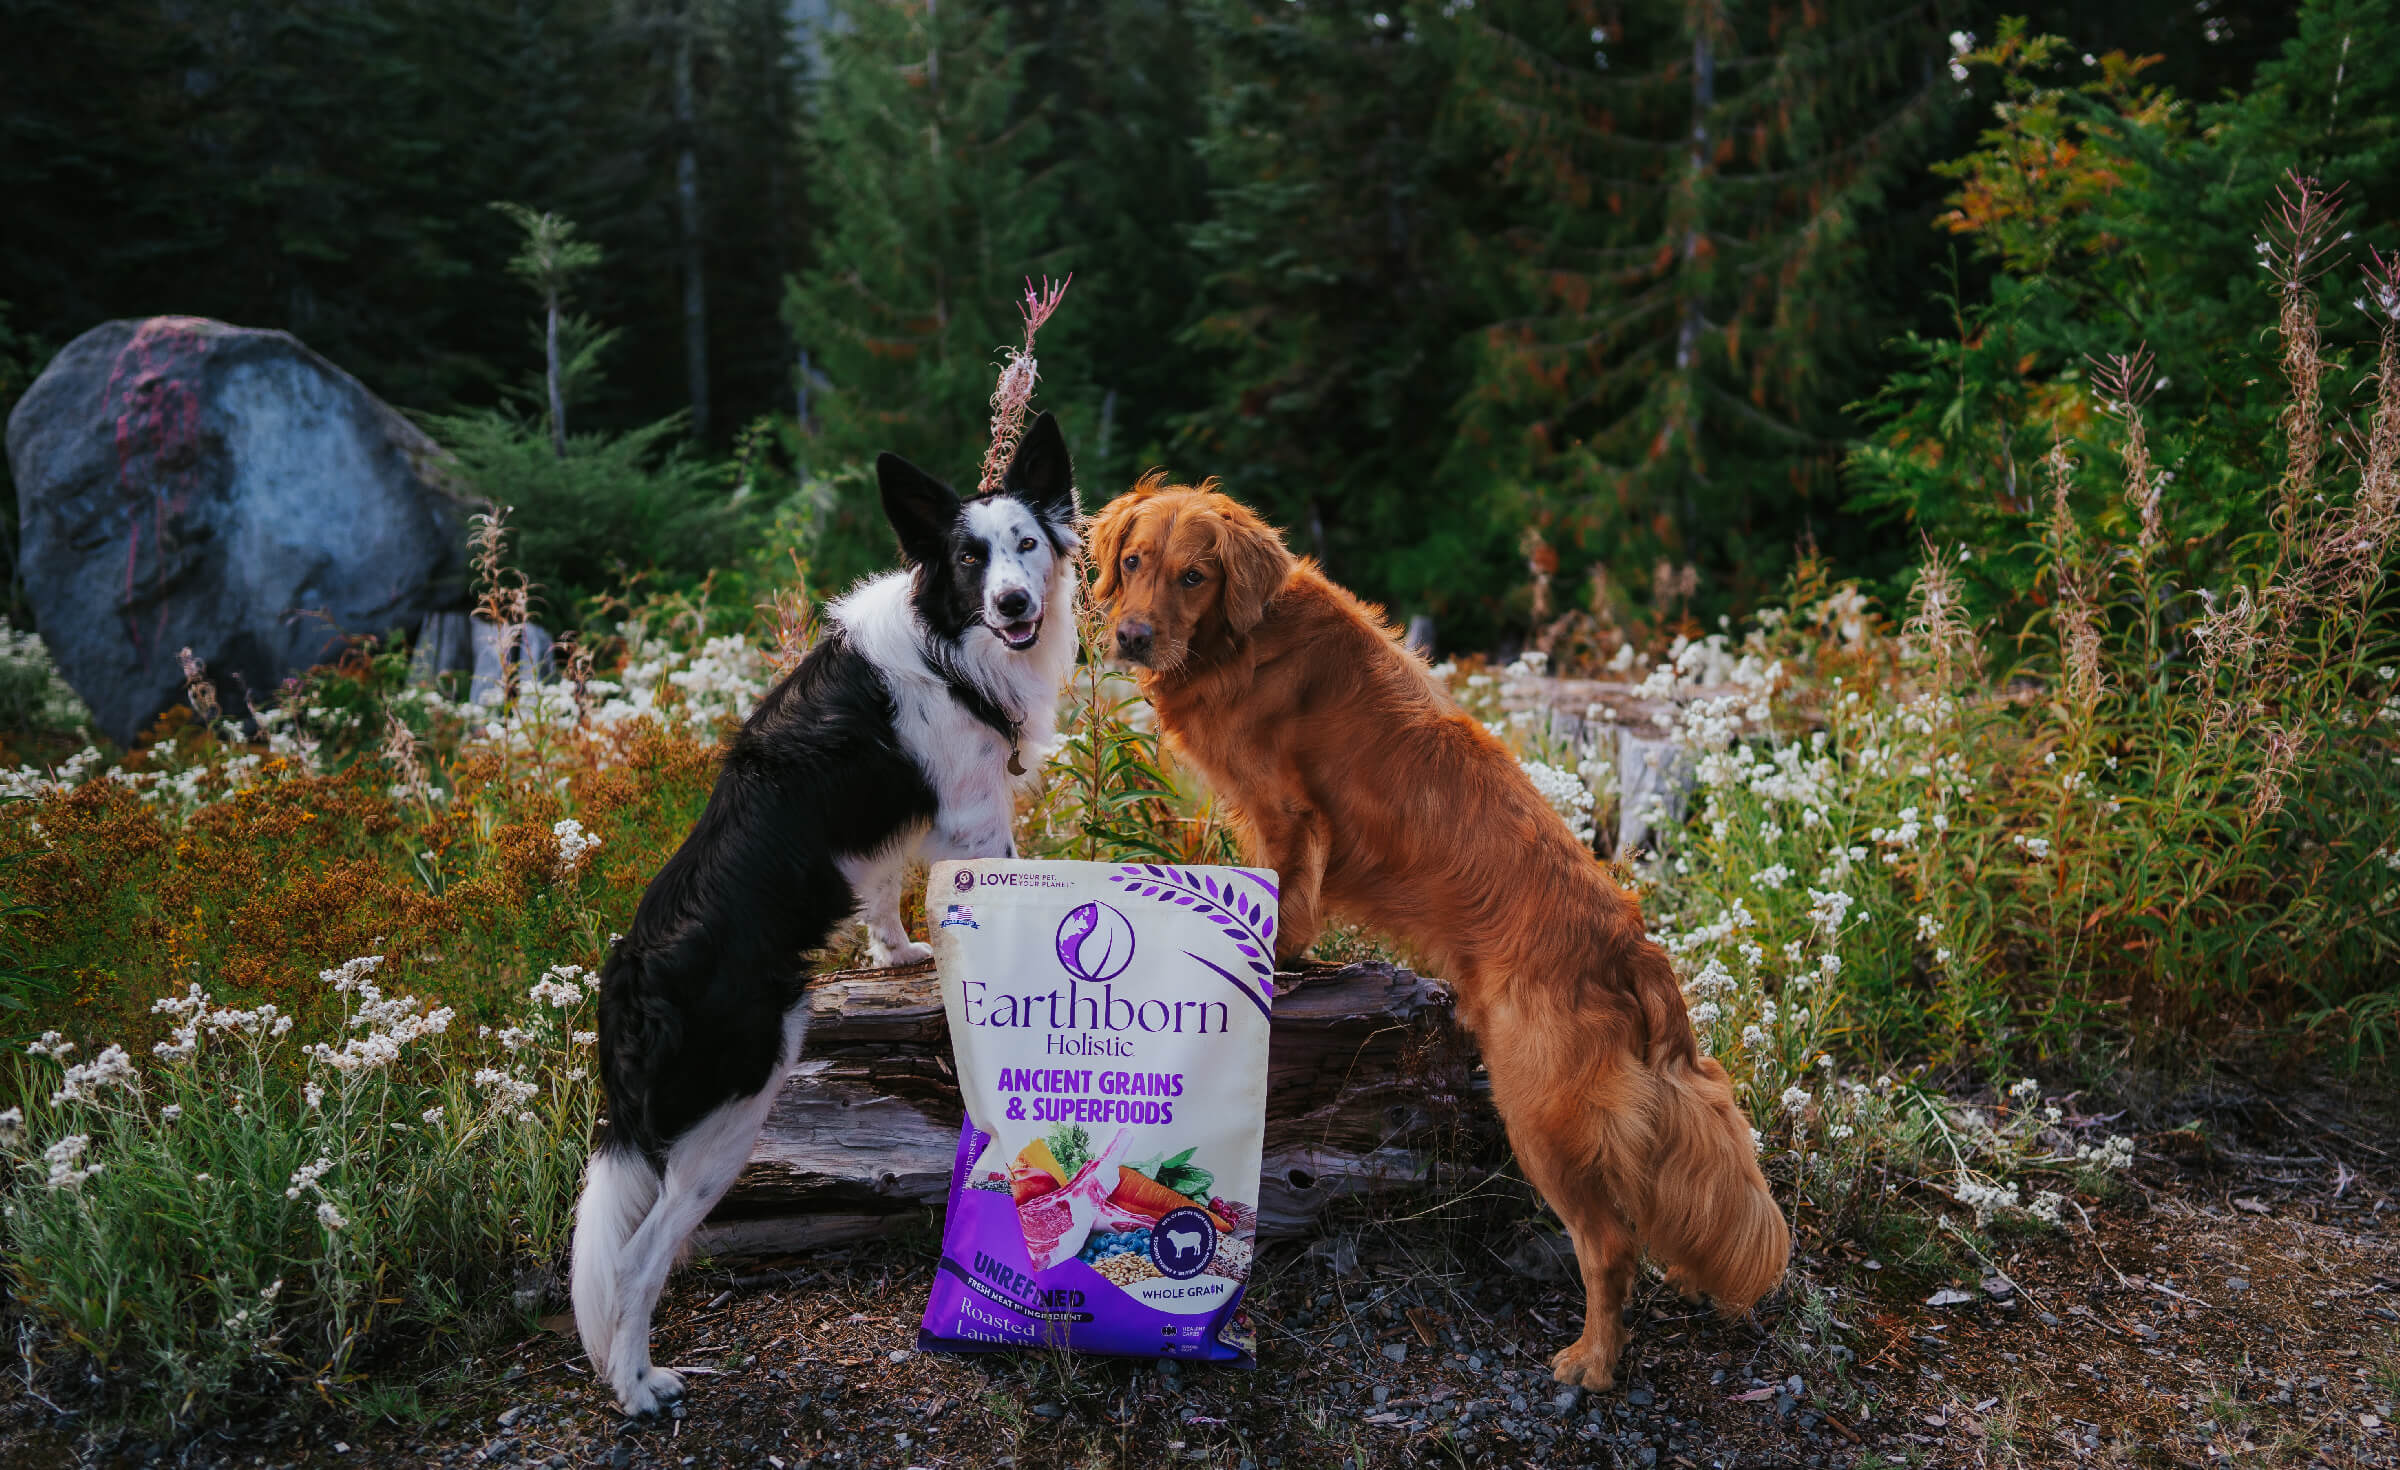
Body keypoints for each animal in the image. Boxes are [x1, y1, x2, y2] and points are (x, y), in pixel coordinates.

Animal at [1089, 475, 1785, 1383]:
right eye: (1134, 561)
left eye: (1193, 576)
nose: (1132, 636)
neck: (1246, 639)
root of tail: (1629, 945)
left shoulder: (1284, 809)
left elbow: (1283, 897)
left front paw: (1275, 956)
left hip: (1541, 1110)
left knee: (1608, 1246)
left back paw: (1593, 1360)